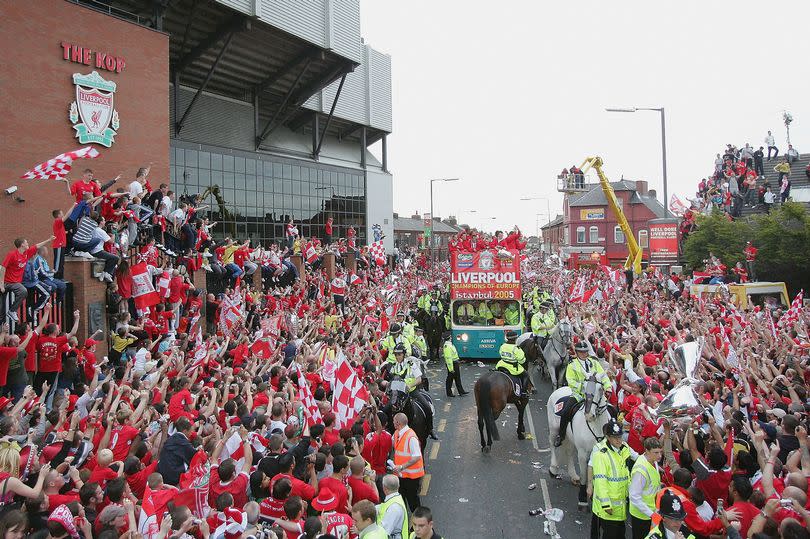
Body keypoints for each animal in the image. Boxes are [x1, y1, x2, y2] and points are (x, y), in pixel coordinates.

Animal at [548, 376, 608, 510]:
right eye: (584, 387)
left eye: (600, 389)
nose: (589, 415)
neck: (595, 425)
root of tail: (561, 388)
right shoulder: (583, 453)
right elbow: (584, 475)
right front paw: (583, 498)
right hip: (554, 430)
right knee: (553, 445)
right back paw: (553, 469)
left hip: (570, 438)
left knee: (569, 452)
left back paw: (573, 476)